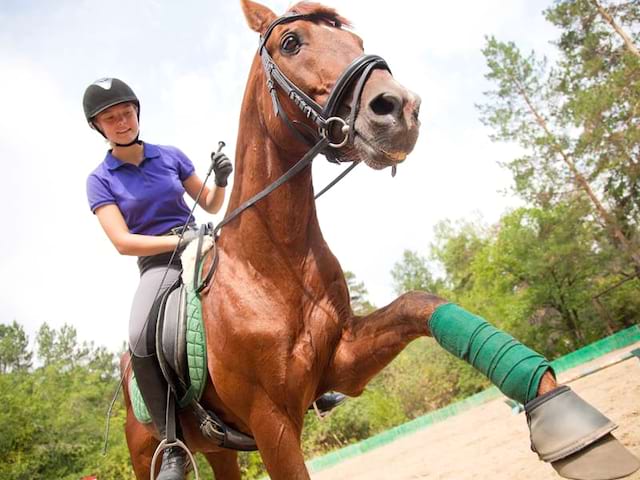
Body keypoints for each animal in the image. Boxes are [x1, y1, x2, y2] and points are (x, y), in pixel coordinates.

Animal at [122, 0, 572, 480]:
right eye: (291, 42)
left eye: (356, 41)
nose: (400, 108)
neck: (274, 266)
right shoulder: (271, 421)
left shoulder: (342, 363)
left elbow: (419, 304)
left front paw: (541, 393)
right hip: (148, 451)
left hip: (219, 448)